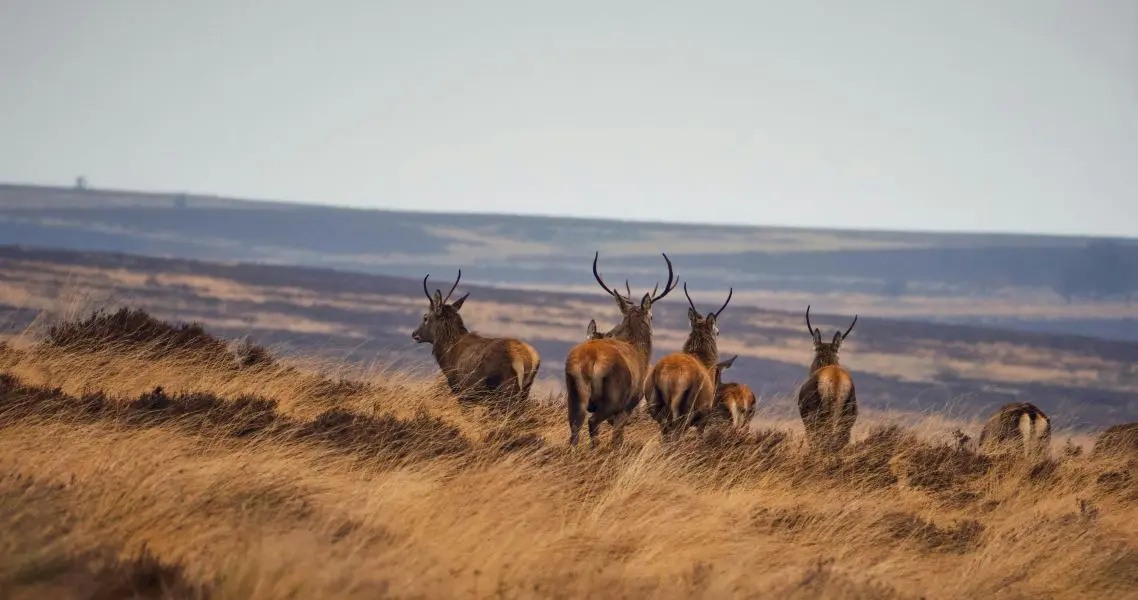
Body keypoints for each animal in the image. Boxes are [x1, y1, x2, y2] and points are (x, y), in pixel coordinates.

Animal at [411, 270, 541, 412]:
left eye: (425, 317)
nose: (415, 334)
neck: (449, 351)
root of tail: (528, 359)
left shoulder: (463, 391)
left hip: (504, 391)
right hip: (525, 390)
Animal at [564, 252, 677, 447]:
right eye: (652, 316)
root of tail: (589, 361)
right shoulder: (629, 405)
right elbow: (618, 437)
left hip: (574, 394)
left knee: (575, 427)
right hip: (613, 398)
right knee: (593, 423)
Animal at [645, 282, 733, 442]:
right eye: (717, 332)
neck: (705, 362)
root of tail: (669, 376)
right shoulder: (704, 416)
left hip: (656, 409)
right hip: (684, 413)